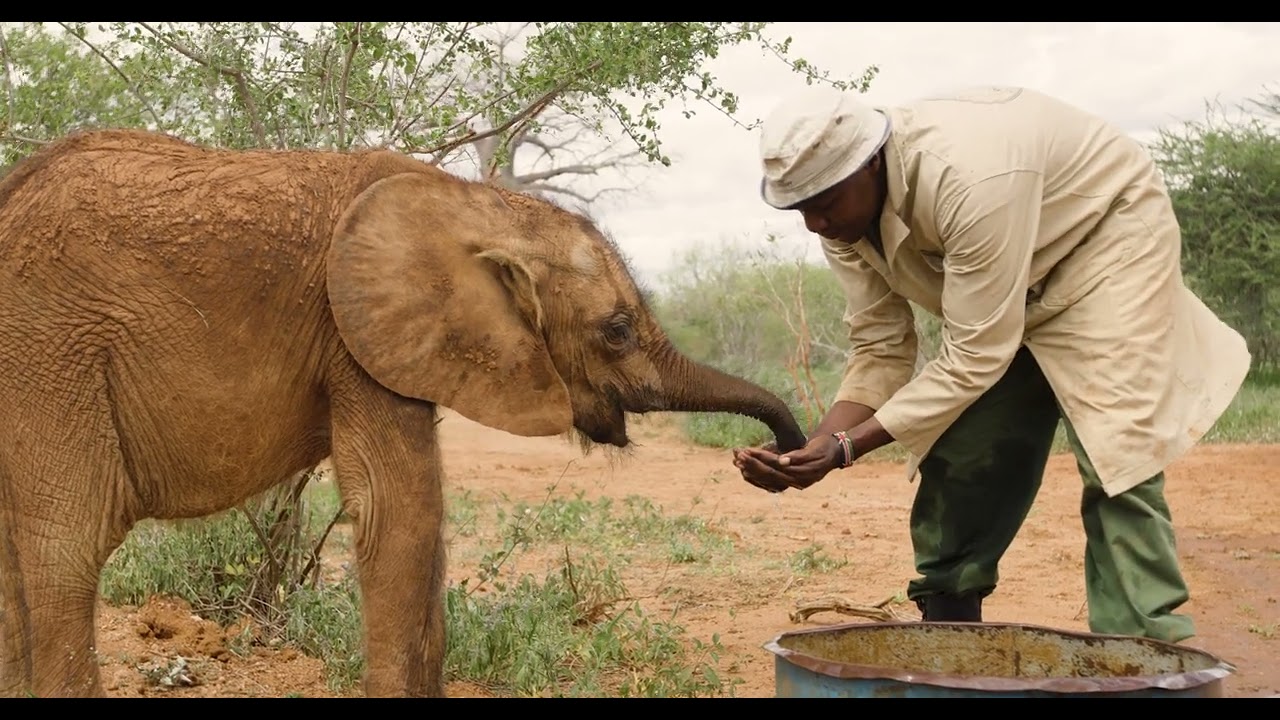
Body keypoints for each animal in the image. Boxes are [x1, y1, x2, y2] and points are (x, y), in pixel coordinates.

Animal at [0, 127, 808, 698]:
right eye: (615, 330)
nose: (776, 458)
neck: (474, 202)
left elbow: (422, 515)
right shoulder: (355, 333)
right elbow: (400, 511)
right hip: (51, 351)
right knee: (69, 542)